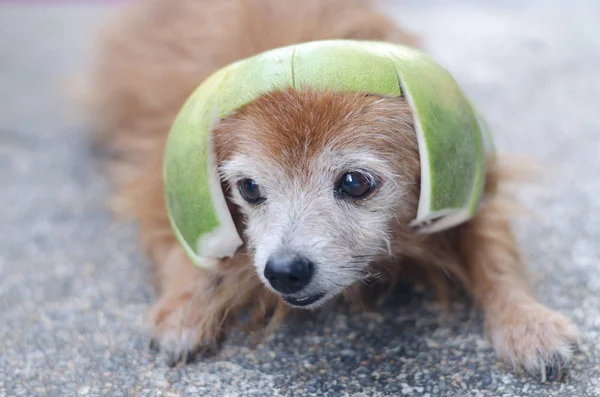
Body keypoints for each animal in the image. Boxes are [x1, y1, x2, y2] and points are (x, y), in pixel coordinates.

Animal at [86, 0, 580, 380]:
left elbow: (494, 257)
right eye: (249, 188)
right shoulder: (158, 175)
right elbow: (183, 246)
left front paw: (527, 321)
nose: (284, 271)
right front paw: (184, 308)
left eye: (354, 183)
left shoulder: (467, 180)